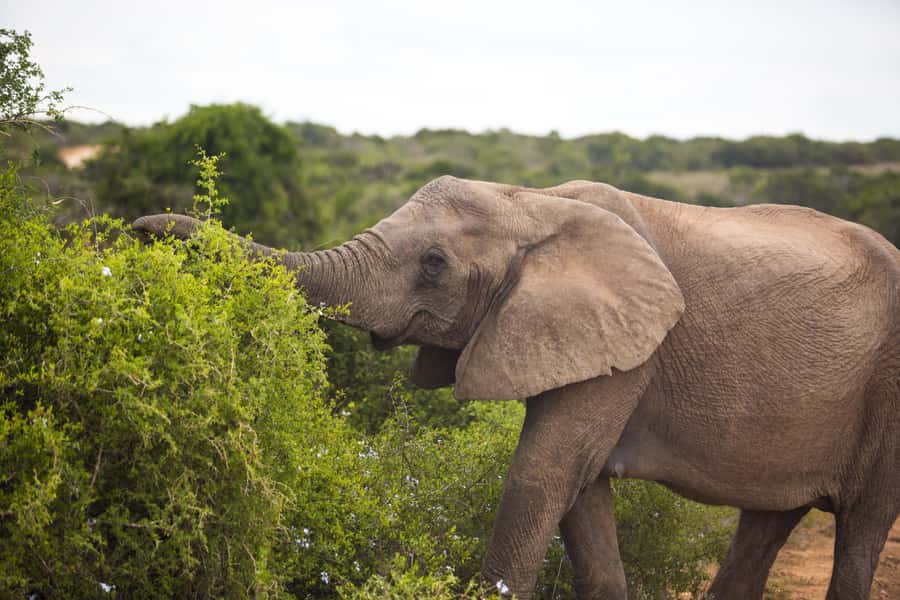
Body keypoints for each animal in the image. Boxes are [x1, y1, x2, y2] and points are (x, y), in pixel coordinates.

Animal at [134, 176, 899, 600]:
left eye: (434, 264)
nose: (141, 229)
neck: (534, 206)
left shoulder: (632, 349)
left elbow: (541, 474)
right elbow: (578, 492)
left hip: (888, 393)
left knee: (863, 528)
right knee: (769, 522)